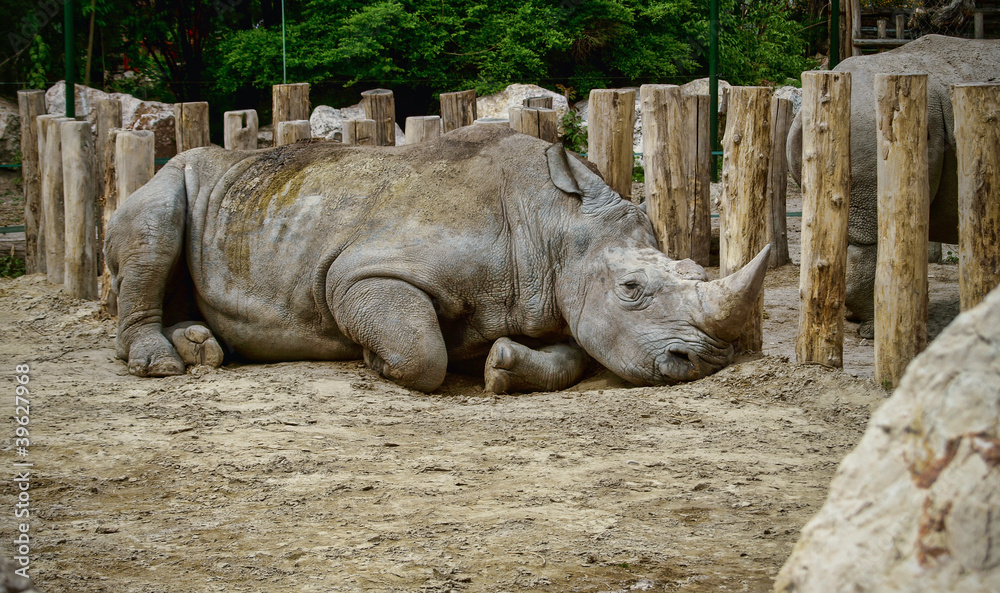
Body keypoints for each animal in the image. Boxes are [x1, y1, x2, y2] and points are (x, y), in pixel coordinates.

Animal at [105, 125, 768, 393]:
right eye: (631, 288)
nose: (704, 361)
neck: (556, 227)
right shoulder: (358, 271)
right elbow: (420, 350)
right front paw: (374, 360)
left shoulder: (558, 297)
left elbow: (573, 357)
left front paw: (501, 365)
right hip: (170, 175)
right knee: (154, 226)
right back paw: (161, 365)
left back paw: (200, 349)